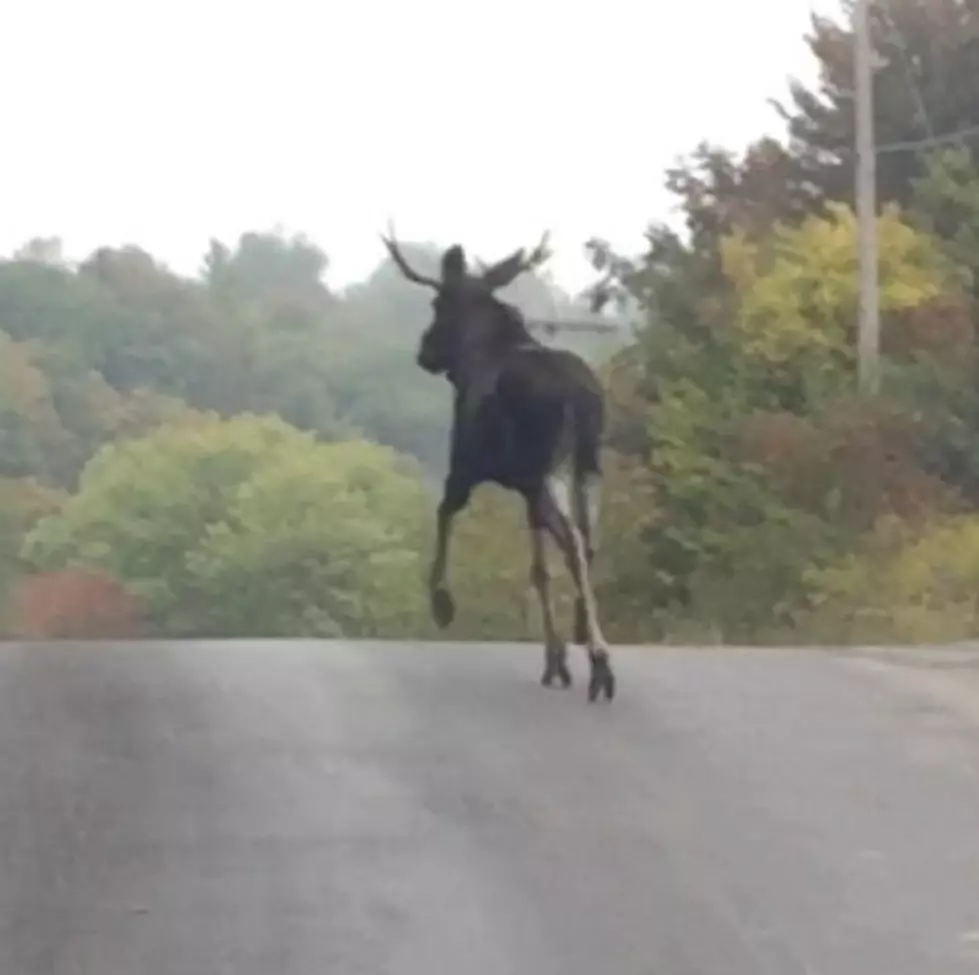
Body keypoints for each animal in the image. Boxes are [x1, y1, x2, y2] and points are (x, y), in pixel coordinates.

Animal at [380, 227, 616, 700]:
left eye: (437, 303)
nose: (424, 353)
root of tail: (578, 398)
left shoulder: (466, 464)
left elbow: (444, 513)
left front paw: (441, 602)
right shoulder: (525, 487)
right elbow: (539, 568)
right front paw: (556, 658)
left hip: (548, 464)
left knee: (574, 540)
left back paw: (600, 659)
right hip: (586, 463)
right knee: (589, 540)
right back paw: (588, 639)